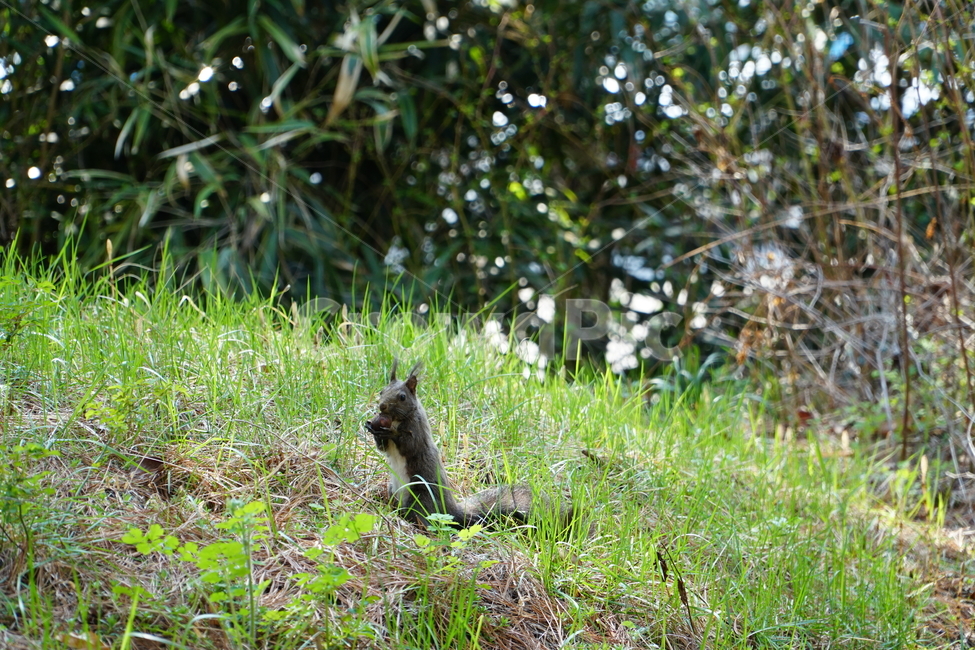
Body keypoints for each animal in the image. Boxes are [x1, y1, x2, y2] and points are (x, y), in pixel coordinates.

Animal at [364, 360, 570, 528]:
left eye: (402, 397)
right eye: (382, 391)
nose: (382, 406)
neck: (396, 420)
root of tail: (450, 511)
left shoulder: (417, 430)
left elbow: (409, 445)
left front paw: (389, 432)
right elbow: (383, 448)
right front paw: (371, 426)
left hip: (421, 496)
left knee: (423, 518)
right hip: (394, 490)